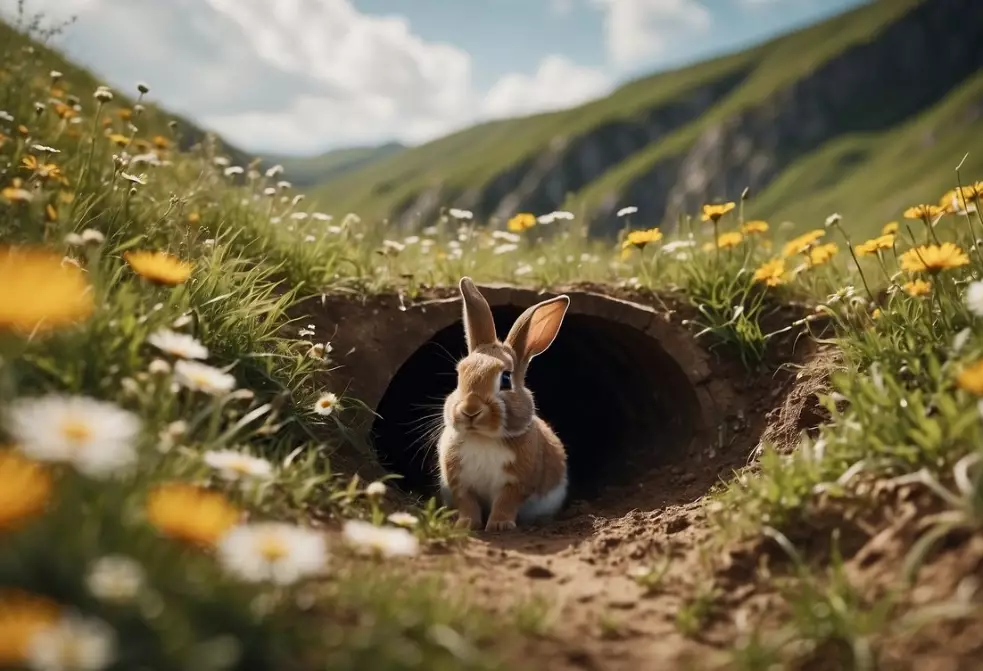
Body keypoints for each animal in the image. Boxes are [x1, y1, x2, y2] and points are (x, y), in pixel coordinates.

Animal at [437, 276, 570, 532]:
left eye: (506, 379)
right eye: (459, 376)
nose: (470, 410)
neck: (483, 438)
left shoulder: (516, 483)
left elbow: (505, 502)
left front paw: (499, 525)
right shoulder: (459, 482)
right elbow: (467, 503)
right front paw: (466, 524)